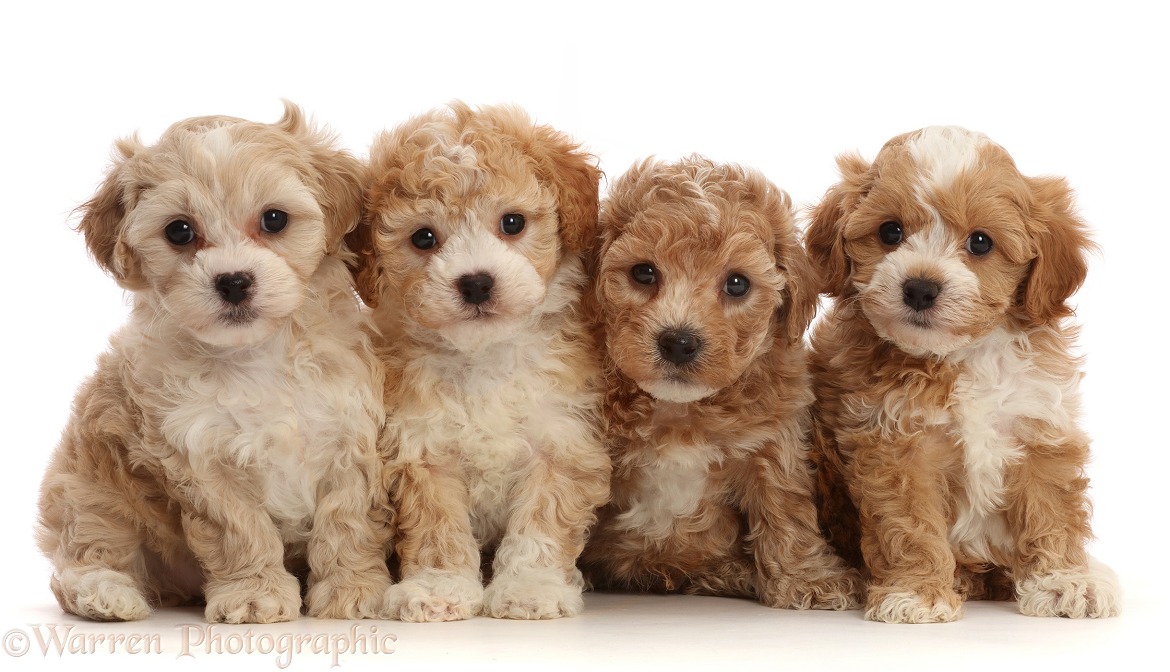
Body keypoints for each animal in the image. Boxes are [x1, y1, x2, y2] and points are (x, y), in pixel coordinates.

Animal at [35, 103, 393, 622]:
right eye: (179, 230)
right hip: (88, 486)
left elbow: (347, 521)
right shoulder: (200, 459)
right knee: (88, 550)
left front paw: (354, 590)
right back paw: (107, 593)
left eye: (274, 219)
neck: (257, 355)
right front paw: (255, 594)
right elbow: (240, 530)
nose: (234, 281)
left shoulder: (351, 435)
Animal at [348, 103, 613, 622]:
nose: (475, 283)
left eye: (512, 223)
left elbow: (541, 525)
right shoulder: (423, 449)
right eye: (424, 237)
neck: (484, 356)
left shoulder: (561, 440)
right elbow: (437, 530)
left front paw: (531, 589)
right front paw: (438, 588)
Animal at [580, 156, 865, 608]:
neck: (680, 412)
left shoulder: (772, 438)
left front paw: (810, 580)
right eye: (643, 273)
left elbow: (784, 507)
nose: (678, 342)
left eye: (737, 283)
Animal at [804, 124, 1123, 622]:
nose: (920, 287)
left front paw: (1064, 582)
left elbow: (1051, 509)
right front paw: (917, 593)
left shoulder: (1038, 426)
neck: (962, 355)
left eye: (980, 242)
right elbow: (909, 521)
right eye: (890, 231)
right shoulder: (893, 442)